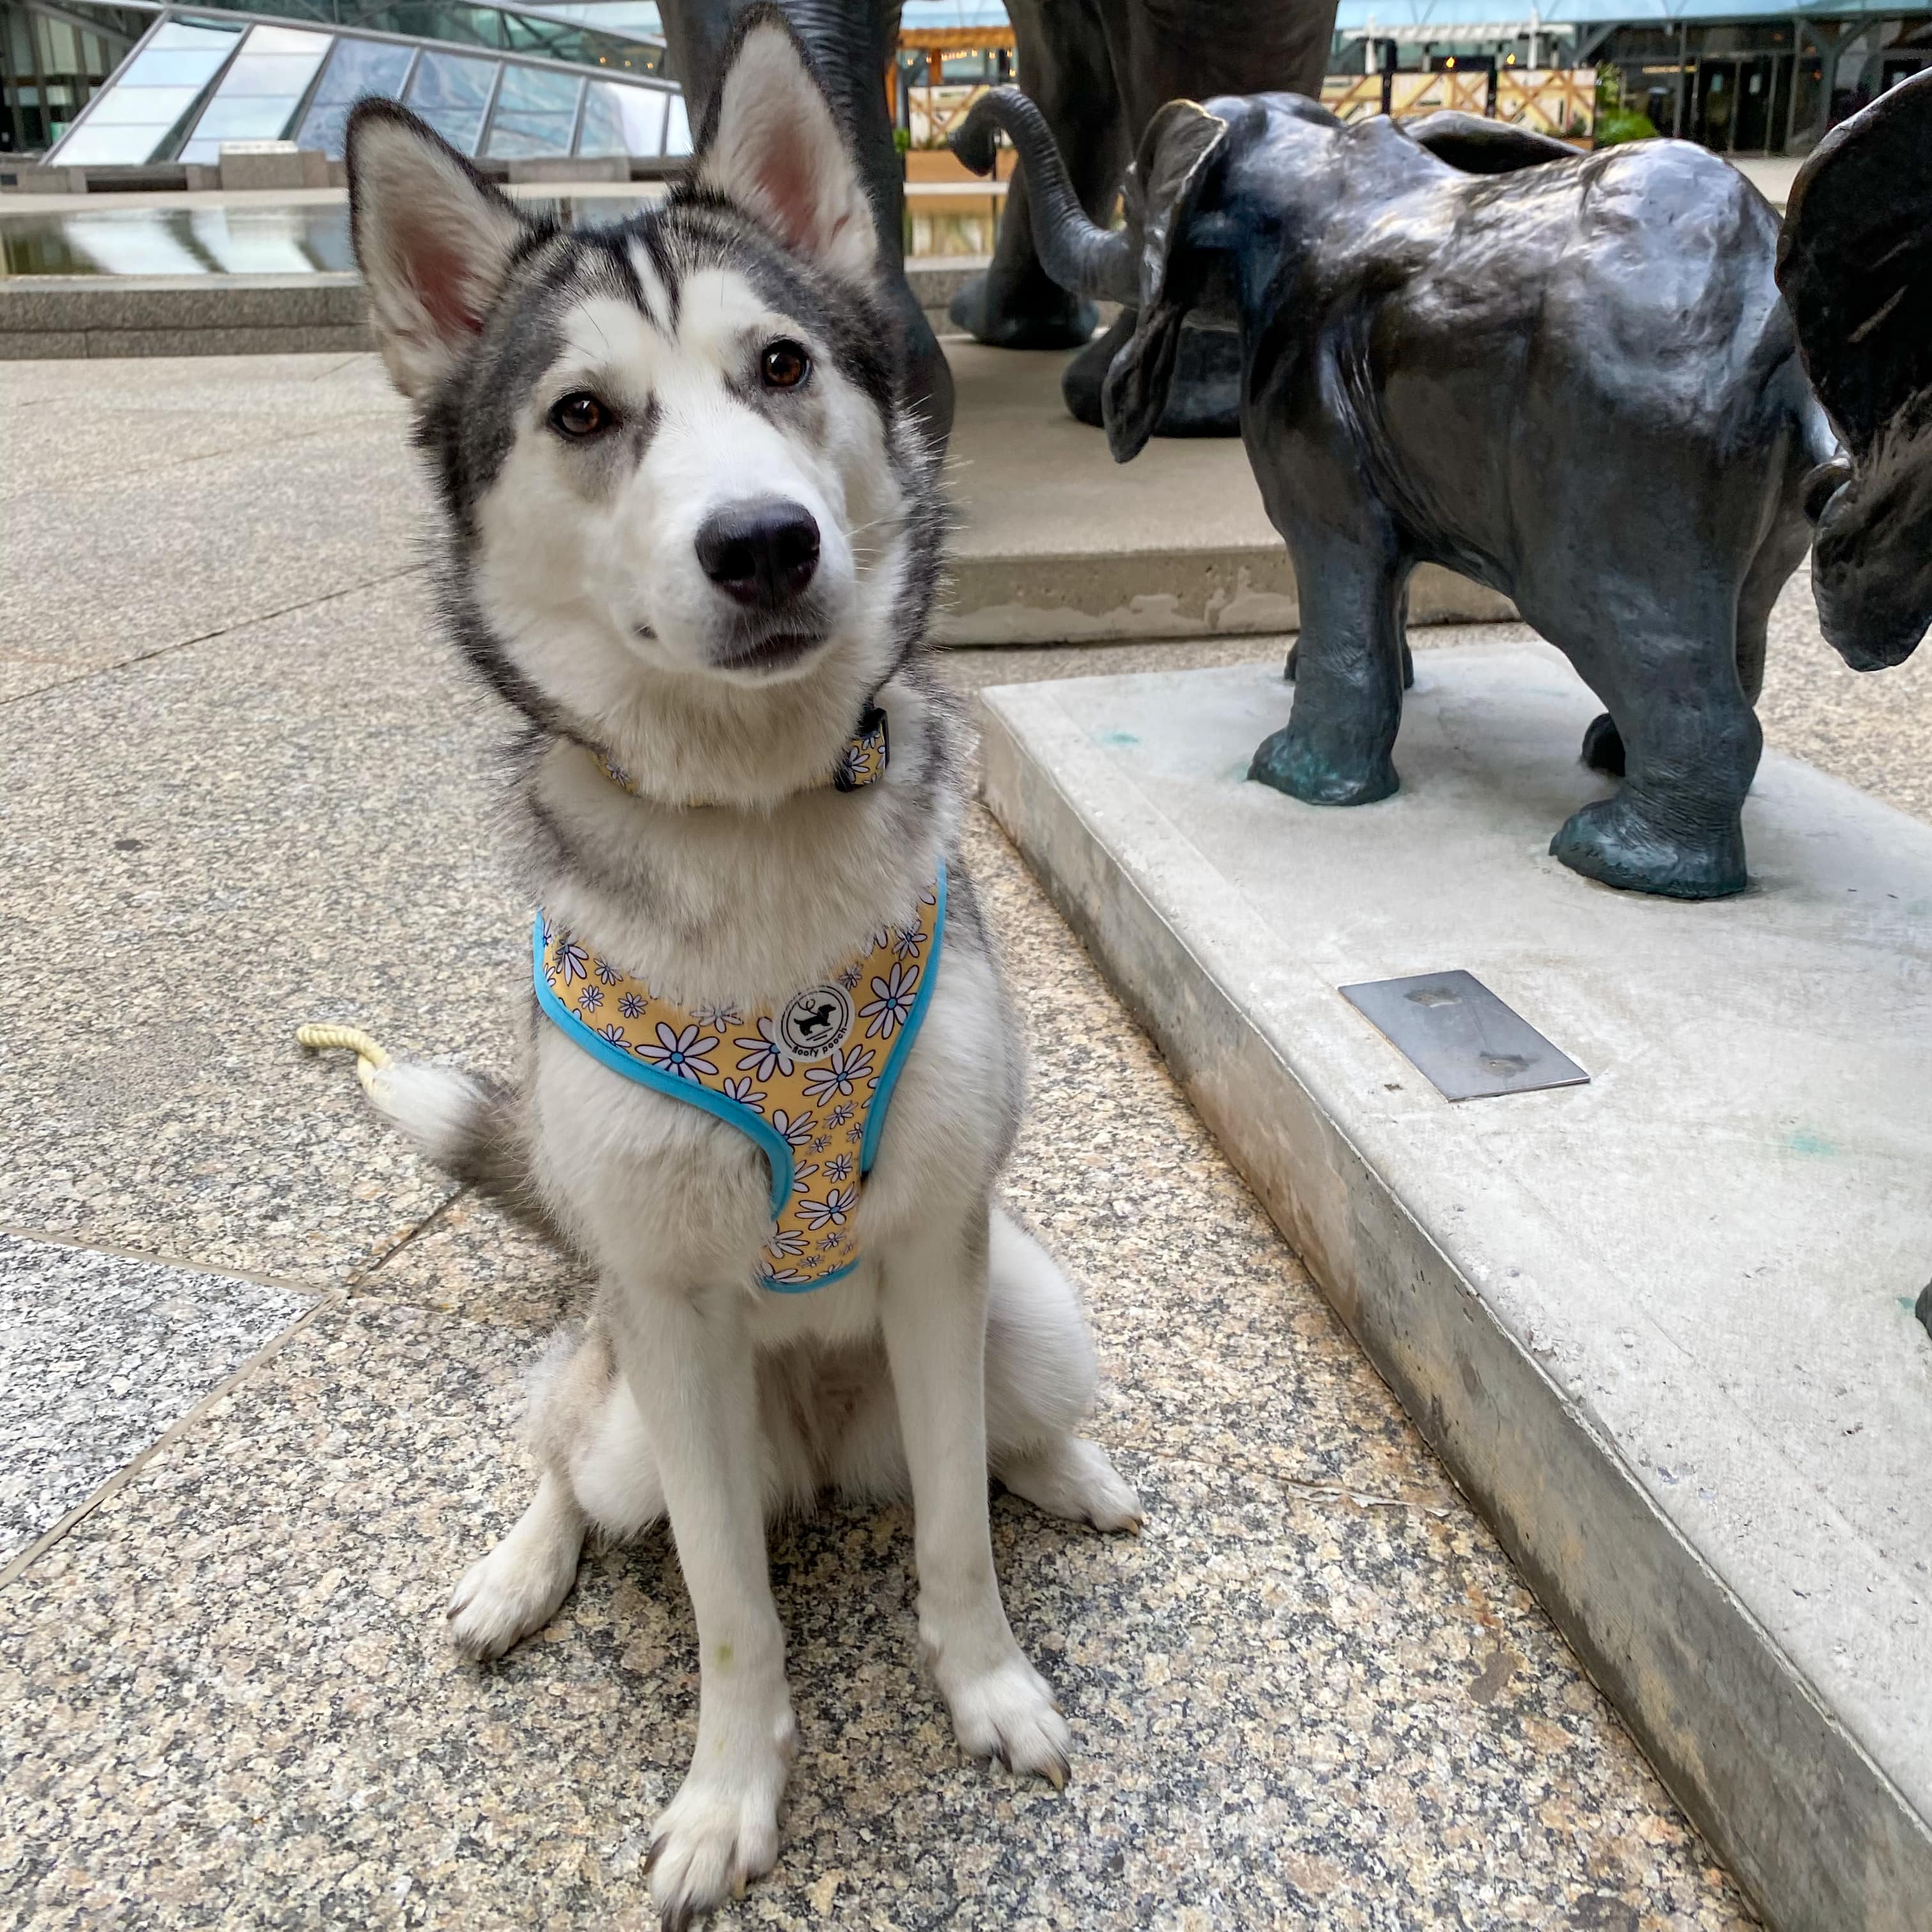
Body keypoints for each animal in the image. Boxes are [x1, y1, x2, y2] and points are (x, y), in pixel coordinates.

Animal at [342, 7, 1136, 1924]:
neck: (760, 827)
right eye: (583, 414)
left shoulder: (936, 1252)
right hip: (636, 1395)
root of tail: (823, 1438)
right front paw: (730, 1794)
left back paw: (1070, 1471)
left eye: (780, 366)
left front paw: (986, 1686)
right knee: (566, 1450)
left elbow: (953, 1534)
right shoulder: (675, 1315)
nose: (766, 542)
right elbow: (726, 1613)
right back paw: (517, 1572)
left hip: (1029, 1310)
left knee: (989, 1443)